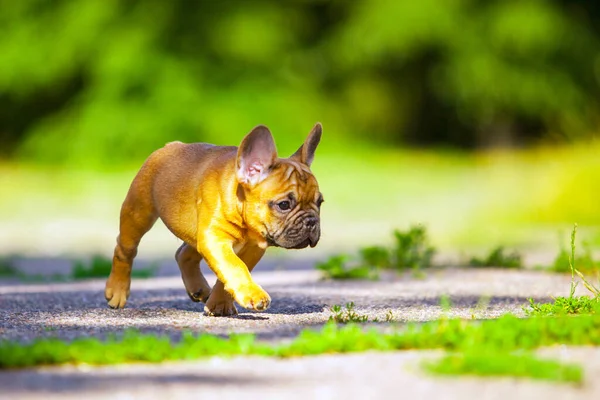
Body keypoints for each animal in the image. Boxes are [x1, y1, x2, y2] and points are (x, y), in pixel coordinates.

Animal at [103, 122, 324, 316]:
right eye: (284, 205)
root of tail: (170, 146)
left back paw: (198, 288)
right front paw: (253, 294)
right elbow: (235, 266)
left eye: (320, 202)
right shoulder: (215, 239)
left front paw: (219, 304)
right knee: (125, 249)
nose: (312, 221)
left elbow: (228, 273)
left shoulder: (250, 248)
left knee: (184, 253)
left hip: (195, 230)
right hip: (139, 213)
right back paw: (117, 291)